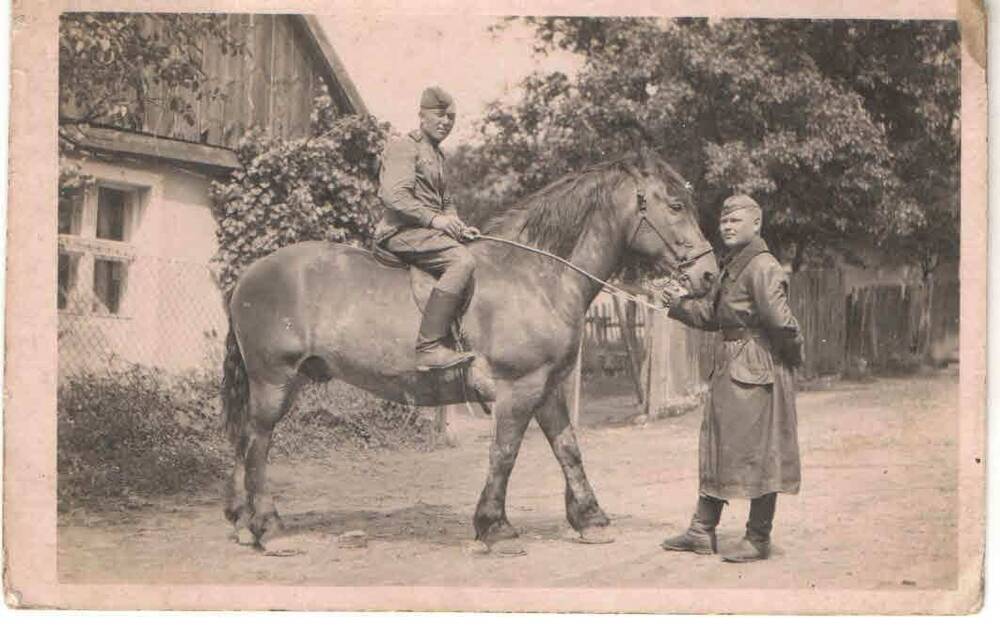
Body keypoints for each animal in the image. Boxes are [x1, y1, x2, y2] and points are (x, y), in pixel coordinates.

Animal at [221, 144, 720, 556]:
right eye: (675, 205)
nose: (709, 274)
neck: (534, 273)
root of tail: (248, 275)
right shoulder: (518, 388)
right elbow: (505, 453)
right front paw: (495, 528)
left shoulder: (548, 386)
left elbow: (568, 449)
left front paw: (590, 520)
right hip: (274, 381)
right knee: (258, 444)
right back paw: (271, 530)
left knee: (244, 440)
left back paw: (244, 524)